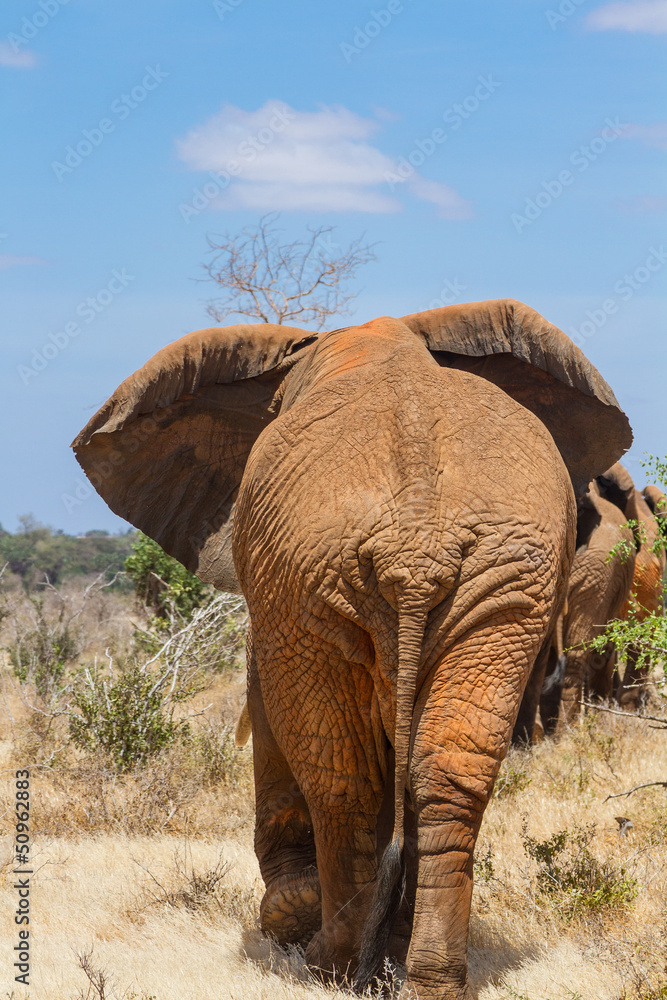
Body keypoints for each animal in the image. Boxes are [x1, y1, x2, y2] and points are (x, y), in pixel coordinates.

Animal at [72, 299, 631, 999]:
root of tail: (417, 546)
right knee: (448, 768)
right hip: (497, 585)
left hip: (320, 576)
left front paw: (292, 916)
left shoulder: (278, 598)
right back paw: (421, 974)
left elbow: (272, 716)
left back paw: (329, 962)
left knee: (342, 775)